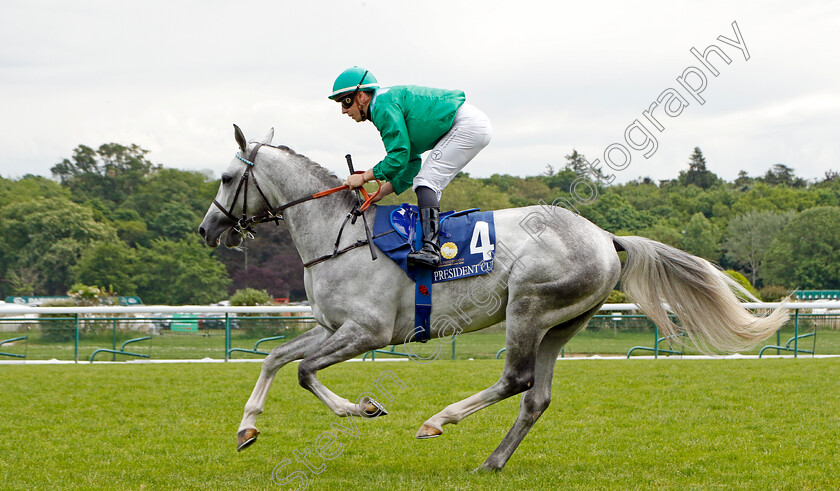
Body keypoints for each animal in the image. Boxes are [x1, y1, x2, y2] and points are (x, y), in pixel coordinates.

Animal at [199, 127, 788, 472]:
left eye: (226, 178)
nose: (207, 230)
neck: (340, 236)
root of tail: (606, 237)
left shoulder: (367, 332)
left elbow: (305, 373)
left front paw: (362, 407)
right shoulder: (330, 327)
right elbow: (277, 359)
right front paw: (247, 428)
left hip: (527, 306)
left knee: (517, 380)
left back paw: (439, 419)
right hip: (559, 325)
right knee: (536, 397)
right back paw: (493, 461)